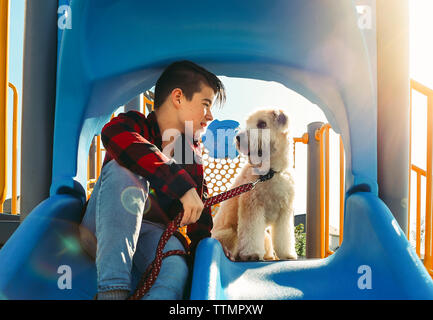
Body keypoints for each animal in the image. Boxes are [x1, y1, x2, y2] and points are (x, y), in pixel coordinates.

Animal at [210, 109, 296, 262]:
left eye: (262, 124)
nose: (238, 138)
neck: (269, 173)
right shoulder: (252, 207)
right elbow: (251, 234)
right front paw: (252, 254)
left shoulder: (284, 212)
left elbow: (284, 236)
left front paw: (286, 254)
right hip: (230, 232)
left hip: (265, 236)